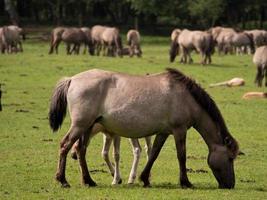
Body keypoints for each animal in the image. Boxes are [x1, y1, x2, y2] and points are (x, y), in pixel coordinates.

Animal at [49, 67, 240, 189]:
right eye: (230, 158)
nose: (230, 185)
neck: (186, 97)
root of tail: (72, 79)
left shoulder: (164, 132)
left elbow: (153, 154)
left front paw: (145, 179)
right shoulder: (179, 130)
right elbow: (181, 156)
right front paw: (185, 182)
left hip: (87, 127)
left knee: (80, 150)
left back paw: (88, 181)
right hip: (80, 125)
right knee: (65, 146)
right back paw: (63, 180)